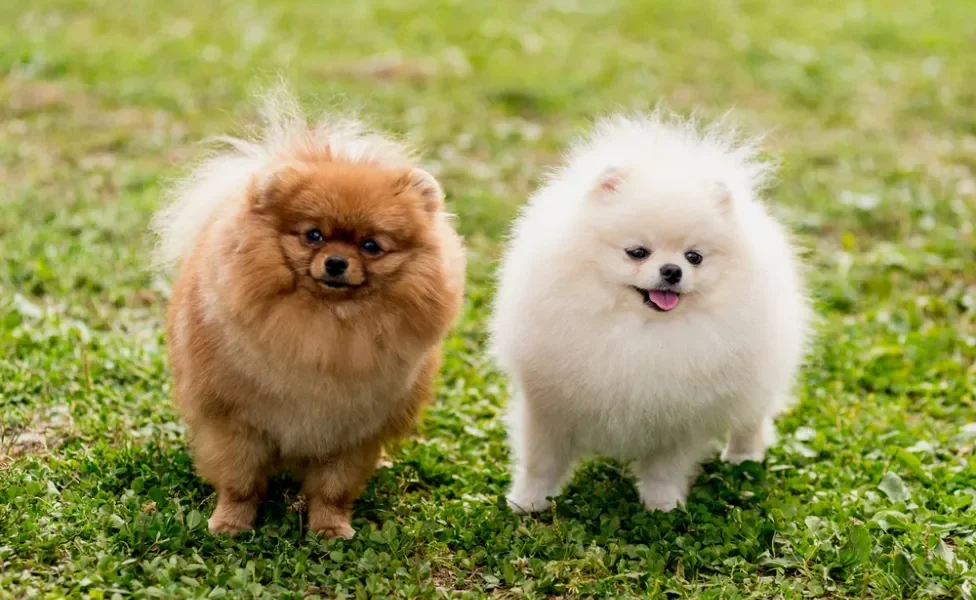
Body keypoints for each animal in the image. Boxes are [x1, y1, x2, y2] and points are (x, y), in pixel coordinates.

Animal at [154, 90, 468, 540]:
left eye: (371, 246)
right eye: (313, 235)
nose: (336, 262)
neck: (325, 328)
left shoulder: (350, 434)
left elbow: (333, 489)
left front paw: (330, 529)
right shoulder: (235, 424)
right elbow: (239, 482)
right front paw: (230, 523)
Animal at [492, 112, 812, 510]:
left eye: (694, 257)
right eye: (637, 252)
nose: (672, 271)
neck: (642, 331)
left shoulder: (679, 419)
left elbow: (665, 466)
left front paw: (661, 505)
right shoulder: (548, 406)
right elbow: (542, 461)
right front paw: (528, 502)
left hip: (757, 378)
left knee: (750, 419)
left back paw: (744, 456)